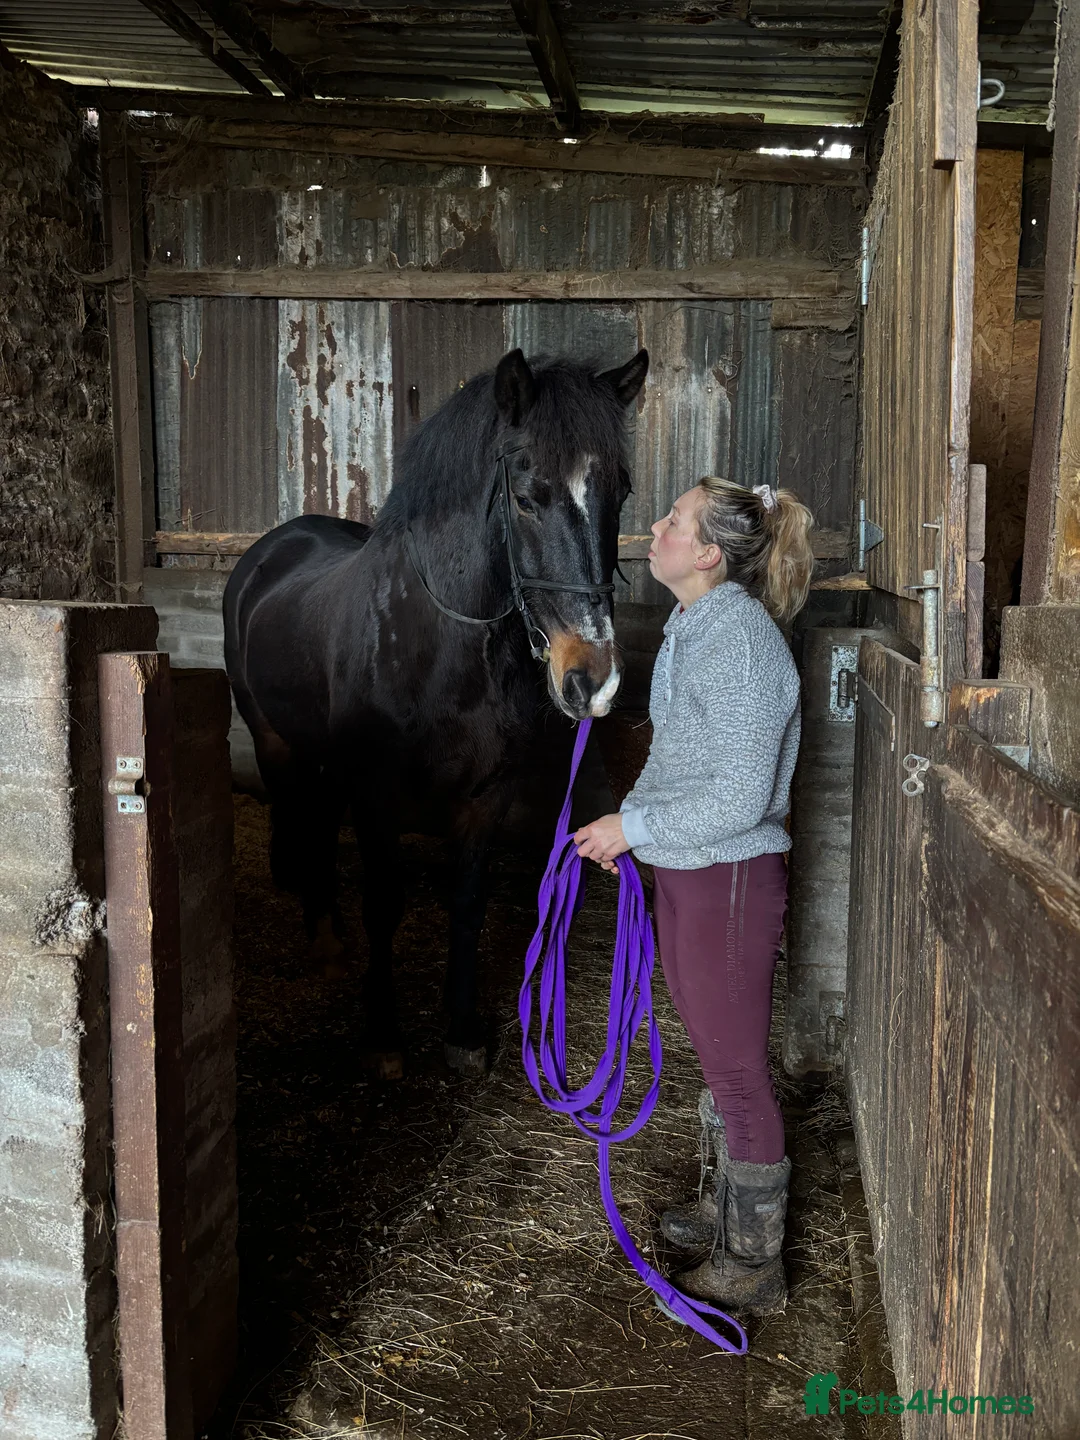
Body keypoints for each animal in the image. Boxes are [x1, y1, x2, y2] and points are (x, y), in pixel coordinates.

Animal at [223, 346, 649, 1077]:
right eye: (525, 497)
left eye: (617, 493)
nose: (592, 678)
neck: (437, 646)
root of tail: (270, 549)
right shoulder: (376, 793)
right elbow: (384, 903)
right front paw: (383, 1035)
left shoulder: (488, 795)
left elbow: (468, 902)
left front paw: (463, 1029)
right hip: (276, 742)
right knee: (302, 819)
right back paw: (323, 938)